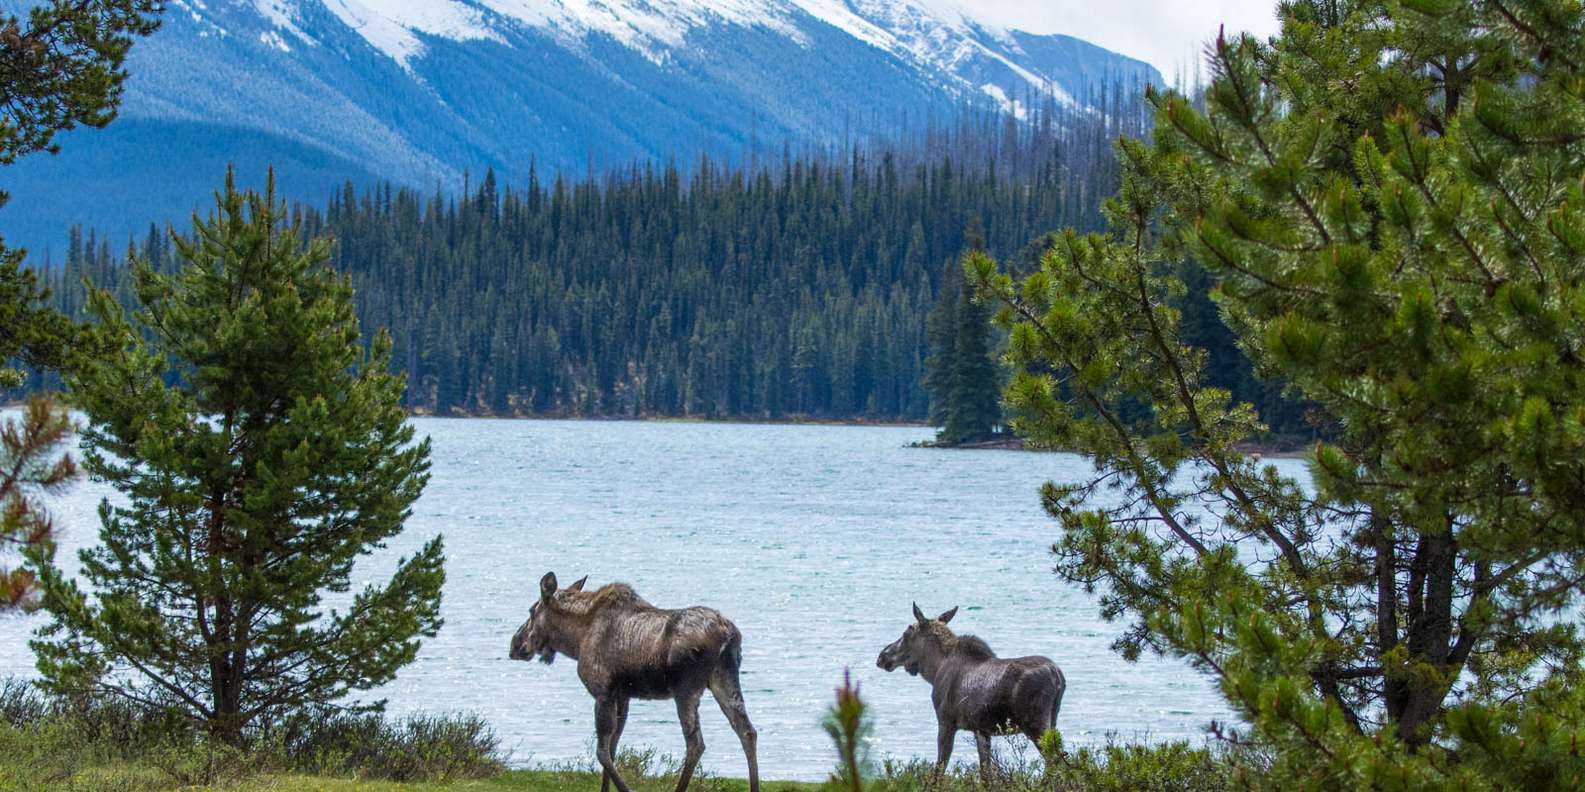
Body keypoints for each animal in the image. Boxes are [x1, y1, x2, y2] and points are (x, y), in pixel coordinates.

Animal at [507, 573, 754, 792]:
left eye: (531, 610)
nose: (514, 644)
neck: (576, 639)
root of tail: (729, 635)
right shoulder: (623, 695)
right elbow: (613, 747)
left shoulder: (603, 692)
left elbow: (602, 751)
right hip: (725, 679)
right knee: (747, 731)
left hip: (686, 689)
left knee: (695, 744)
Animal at [881, 605, 1065, 779]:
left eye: (906, 633)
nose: (882, 656)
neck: (934, 669)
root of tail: (1057, 675)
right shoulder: (982, 730)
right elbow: (985, 772)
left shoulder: (946, 722)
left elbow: (939, 769)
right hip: (1052, 720)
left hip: (1035, 723)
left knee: (1055, 759)